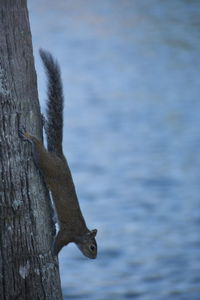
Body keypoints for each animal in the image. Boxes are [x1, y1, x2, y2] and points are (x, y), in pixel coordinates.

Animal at [19, 49, 97, 258]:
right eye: (92, 247)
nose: (94, 257)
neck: (80, 233)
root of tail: (60, 157)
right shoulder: (67, 233)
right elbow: (58, 244)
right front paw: (52, 253)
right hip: (45, 162)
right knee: (38, 148)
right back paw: (30, 137)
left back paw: (44, 121)